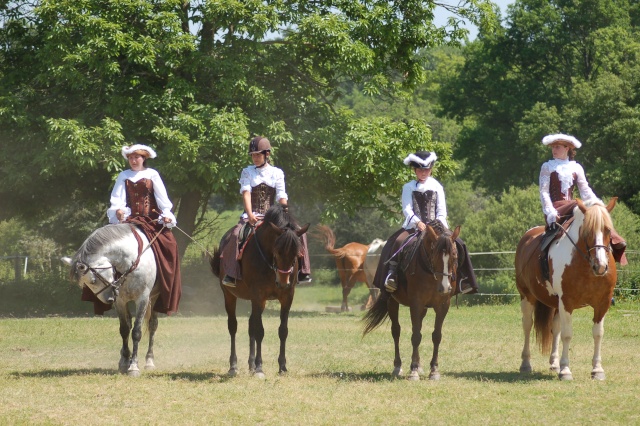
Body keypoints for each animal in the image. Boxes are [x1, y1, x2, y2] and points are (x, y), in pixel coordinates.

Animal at [61, 223, 159, 376]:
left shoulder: (142, 298)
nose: (108, 300)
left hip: (154, 298)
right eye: (85, 284)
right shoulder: (120, 301)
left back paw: (149, 361)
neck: (130, 262)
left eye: (93, 280)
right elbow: (124, 329)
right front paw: (125, 363)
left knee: (152, 324)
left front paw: (133, 366)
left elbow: (136, 332)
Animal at [211, 205, 308, 378]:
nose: (283, 282)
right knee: (233, 326)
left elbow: (282, 330)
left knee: (251, 325)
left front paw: (282, 367)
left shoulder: (286, 297)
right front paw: (259, 368)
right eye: (277, 250)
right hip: (229, 295)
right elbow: (260, 331)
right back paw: (234, 366)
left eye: (297, 253)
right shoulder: (258, 295)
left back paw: (250, 364)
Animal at [364, 225, 460, 382]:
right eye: (435, 256)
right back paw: (398, 367)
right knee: (396, 331)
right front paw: (413, 371)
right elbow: (415, 337)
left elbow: (436, 336)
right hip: (392, 302)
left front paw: (434, 370)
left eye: (454, 255)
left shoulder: (442, 305)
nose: (445, 287)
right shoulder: (416, 304)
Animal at [512, 198, 616, 382]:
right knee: (527, 325)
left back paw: (554, 363)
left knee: (555, 327)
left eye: (608, 230)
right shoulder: (567, 301)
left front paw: (597, 370)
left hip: (555, 303)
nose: (601, 266)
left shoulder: (602, 303)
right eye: (587, 231)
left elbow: (598, 333)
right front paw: (566, 370)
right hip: (526, 296)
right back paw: (526, 363)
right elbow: (567, 334)